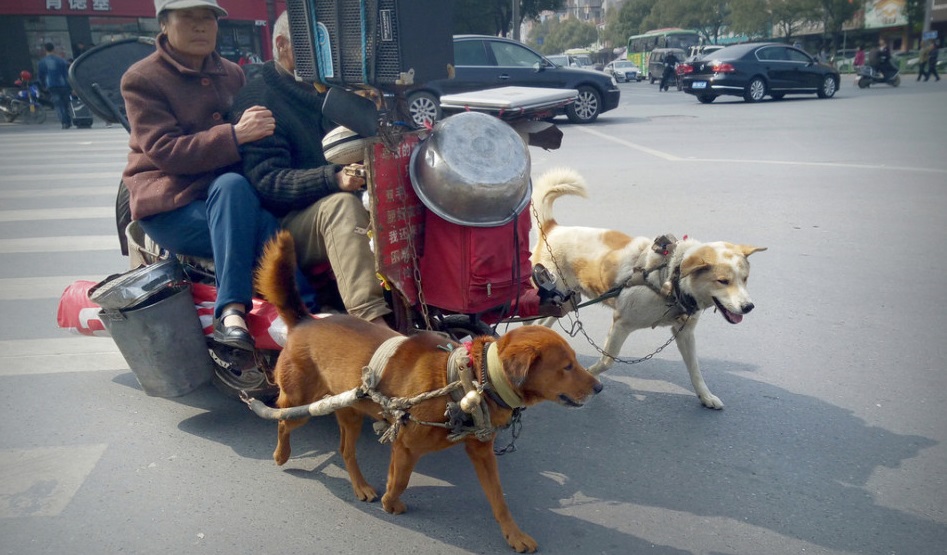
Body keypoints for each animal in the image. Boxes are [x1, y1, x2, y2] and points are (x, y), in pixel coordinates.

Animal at [256, 230, 604, 552]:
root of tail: (305, 321)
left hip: (349, 411)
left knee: (345, 450)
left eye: (575, 361)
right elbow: (400, 480)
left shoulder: (482, 452)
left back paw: (360, 486)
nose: (599, 387)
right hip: (301, 402)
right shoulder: (405, 445)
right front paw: (390, 502)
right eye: (567, 366)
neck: (467, 380)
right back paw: (281, 454)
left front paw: (513, 535)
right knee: (283, 421)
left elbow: (499, 500)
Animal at [528, 167, 768, 410]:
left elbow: (695, 371)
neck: (670, 275)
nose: (748, 307)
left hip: (566, 302)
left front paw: (706, 396)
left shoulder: (685, 334)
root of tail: (553, 228)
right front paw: (590, 374)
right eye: (723, 281)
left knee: (544, 325)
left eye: (745, 279)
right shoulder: (621, 323)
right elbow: (607, 361)